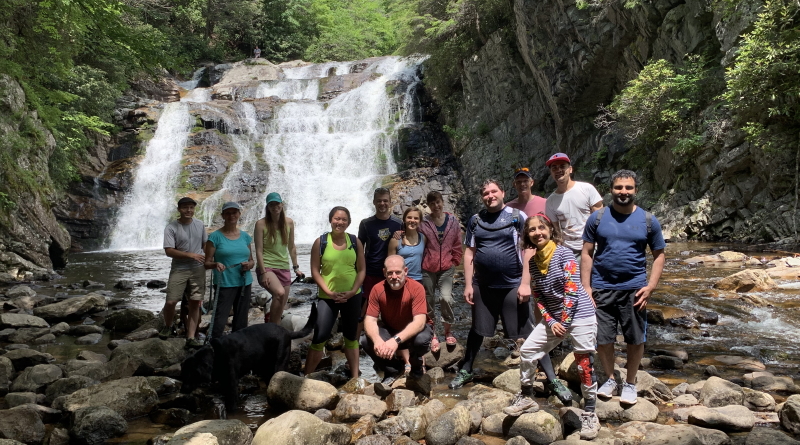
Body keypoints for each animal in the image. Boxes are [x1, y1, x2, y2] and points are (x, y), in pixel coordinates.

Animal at [180, 304, 318, 412]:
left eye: (189, 374)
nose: (181, 390)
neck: (215, 354)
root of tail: (287, 332)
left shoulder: (231, 382)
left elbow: (231, 403)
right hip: (266, 370)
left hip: (278, 366)